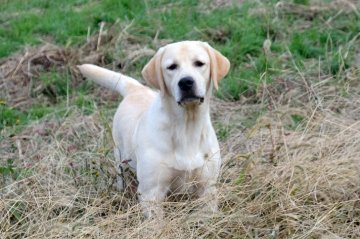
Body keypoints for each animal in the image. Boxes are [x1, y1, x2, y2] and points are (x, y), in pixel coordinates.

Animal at [78, 40, 231, 218]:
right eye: (171, 67)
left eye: (199, 63)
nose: (186, 82)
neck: (186, 127)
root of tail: (136, 88)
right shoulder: (151, 193)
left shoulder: (207, 187)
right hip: (120, 158)